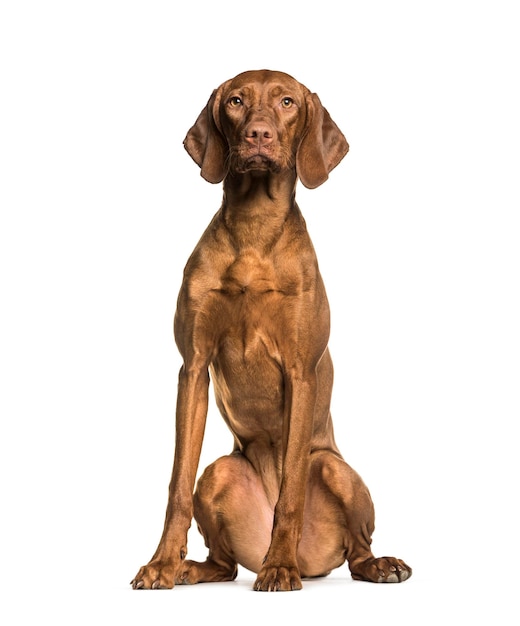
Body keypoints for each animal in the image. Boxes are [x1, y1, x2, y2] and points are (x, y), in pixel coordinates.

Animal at [132, 69, 412, 588]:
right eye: (237, 101)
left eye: (286, 102)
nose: (258, 135)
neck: (255, 226)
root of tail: (315, 561)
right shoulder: (192, 368)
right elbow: (177, 484)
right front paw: (161, 563)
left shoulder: (301, 372)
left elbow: (292, 491)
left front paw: (279, 565)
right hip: (219, 473)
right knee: (224, 563)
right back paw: (190, 568)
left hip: (335, 469)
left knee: (355, 549)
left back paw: (367, 564)